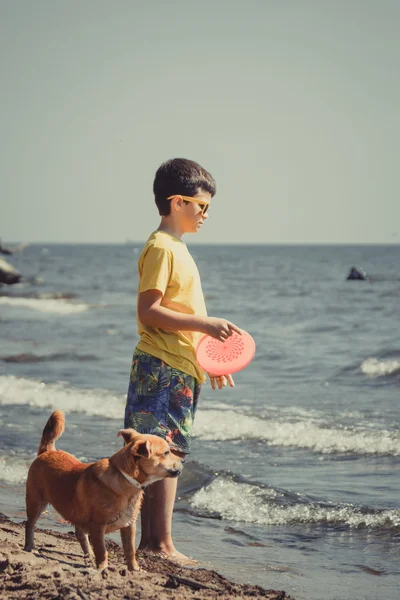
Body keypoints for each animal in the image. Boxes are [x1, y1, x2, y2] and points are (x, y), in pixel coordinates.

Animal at [23, 410, 183, 568]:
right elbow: (102, 550)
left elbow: (130, 550)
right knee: (30, 524)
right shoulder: (97, 526)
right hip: (36, 502)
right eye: (167, 453)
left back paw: (88, 555)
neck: (124, 477)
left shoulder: (129, 526)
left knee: (80, 533)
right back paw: (29, 546)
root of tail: (47, 451)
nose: (183, 460)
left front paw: (134, 569)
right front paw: (102, 568)